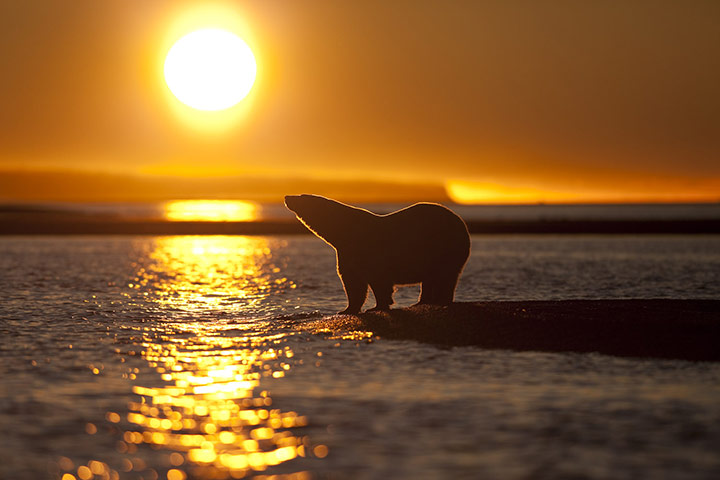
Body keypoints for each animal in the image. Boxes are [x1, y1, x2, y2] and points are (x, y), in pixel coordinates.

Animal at [284, 194, 471, 314]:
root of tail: (461, 222)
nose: (287, 196)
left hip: (444, 247)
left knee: (446, 276)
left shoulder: (370, 252)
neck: (343, 233)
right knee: (431, 278)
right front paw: (347, 309)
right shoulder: (347, 254)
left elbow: (375, 281)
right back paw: (423, 300)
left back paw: (442, 300)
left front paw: (375, 306)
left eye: (301, 196)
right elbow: (353, 281)